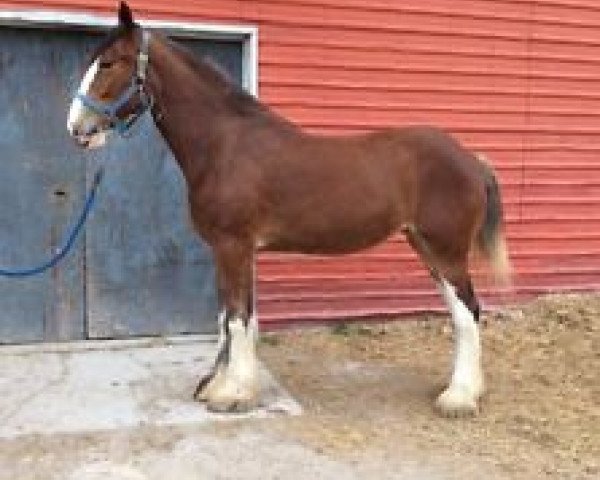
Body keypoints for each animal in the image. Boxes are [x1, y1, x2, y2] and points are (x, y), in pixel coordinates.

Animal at [69, 1, 510, 416]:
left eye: (108, 63)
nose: (76, 128)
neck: (225, 146)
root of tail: (472, 160)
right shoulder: (229, 250)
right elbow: (230, 315)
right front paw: (222, 385)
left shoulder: (233, 246)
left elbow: (237, 317)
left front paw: (232, 394)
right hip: (427, 247)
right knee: (462, 311)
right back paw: (465, 389)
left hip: (446, 250)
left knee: (467, 312)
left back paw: (458, 397)